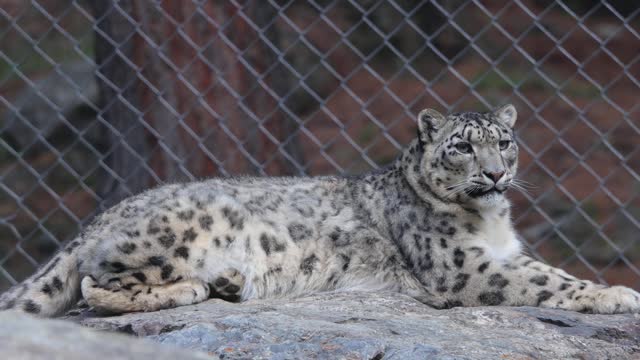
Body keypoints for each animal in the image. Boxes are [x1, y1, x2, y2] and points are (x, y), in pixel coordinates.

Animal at [1, 103, 640, 316]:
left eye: (504, 141)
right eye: (462, 146)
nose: (495, 173)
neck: (490, 221)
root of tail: (101, 217)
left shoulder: (500, 253)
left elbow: (547, 270)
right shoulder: (465, 268)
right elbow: (546, 281)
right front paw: (618, 296)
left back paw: (225, 284)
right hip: (177, 237)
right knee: (94, 286)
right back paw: (200, 286)